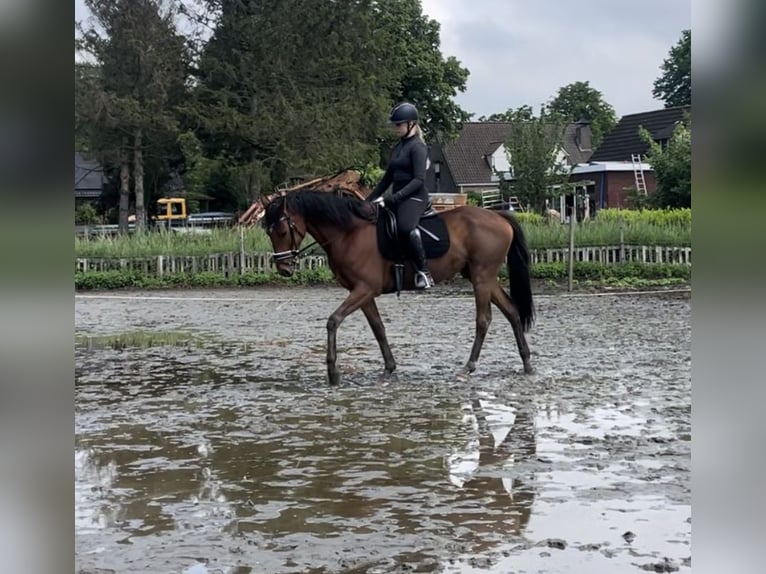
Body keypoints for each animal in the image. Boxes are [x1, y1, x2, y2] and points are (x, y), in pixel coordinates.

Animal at [260, 190, 536, 388]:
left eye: (282, 231)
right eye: (268, 233)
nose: (284, 269)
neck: (348, 233)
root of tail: (498, 216)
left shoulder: (364, 289)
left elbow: (333, 320)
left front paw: (333, 371)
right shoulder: (362, 293)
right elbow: (378, 328)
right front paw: (389, 368)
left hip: (481, 277)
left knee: (483, 320)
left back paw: (468, 367)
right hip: (484, 278)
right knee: (511, 311)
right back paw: (527, 363)